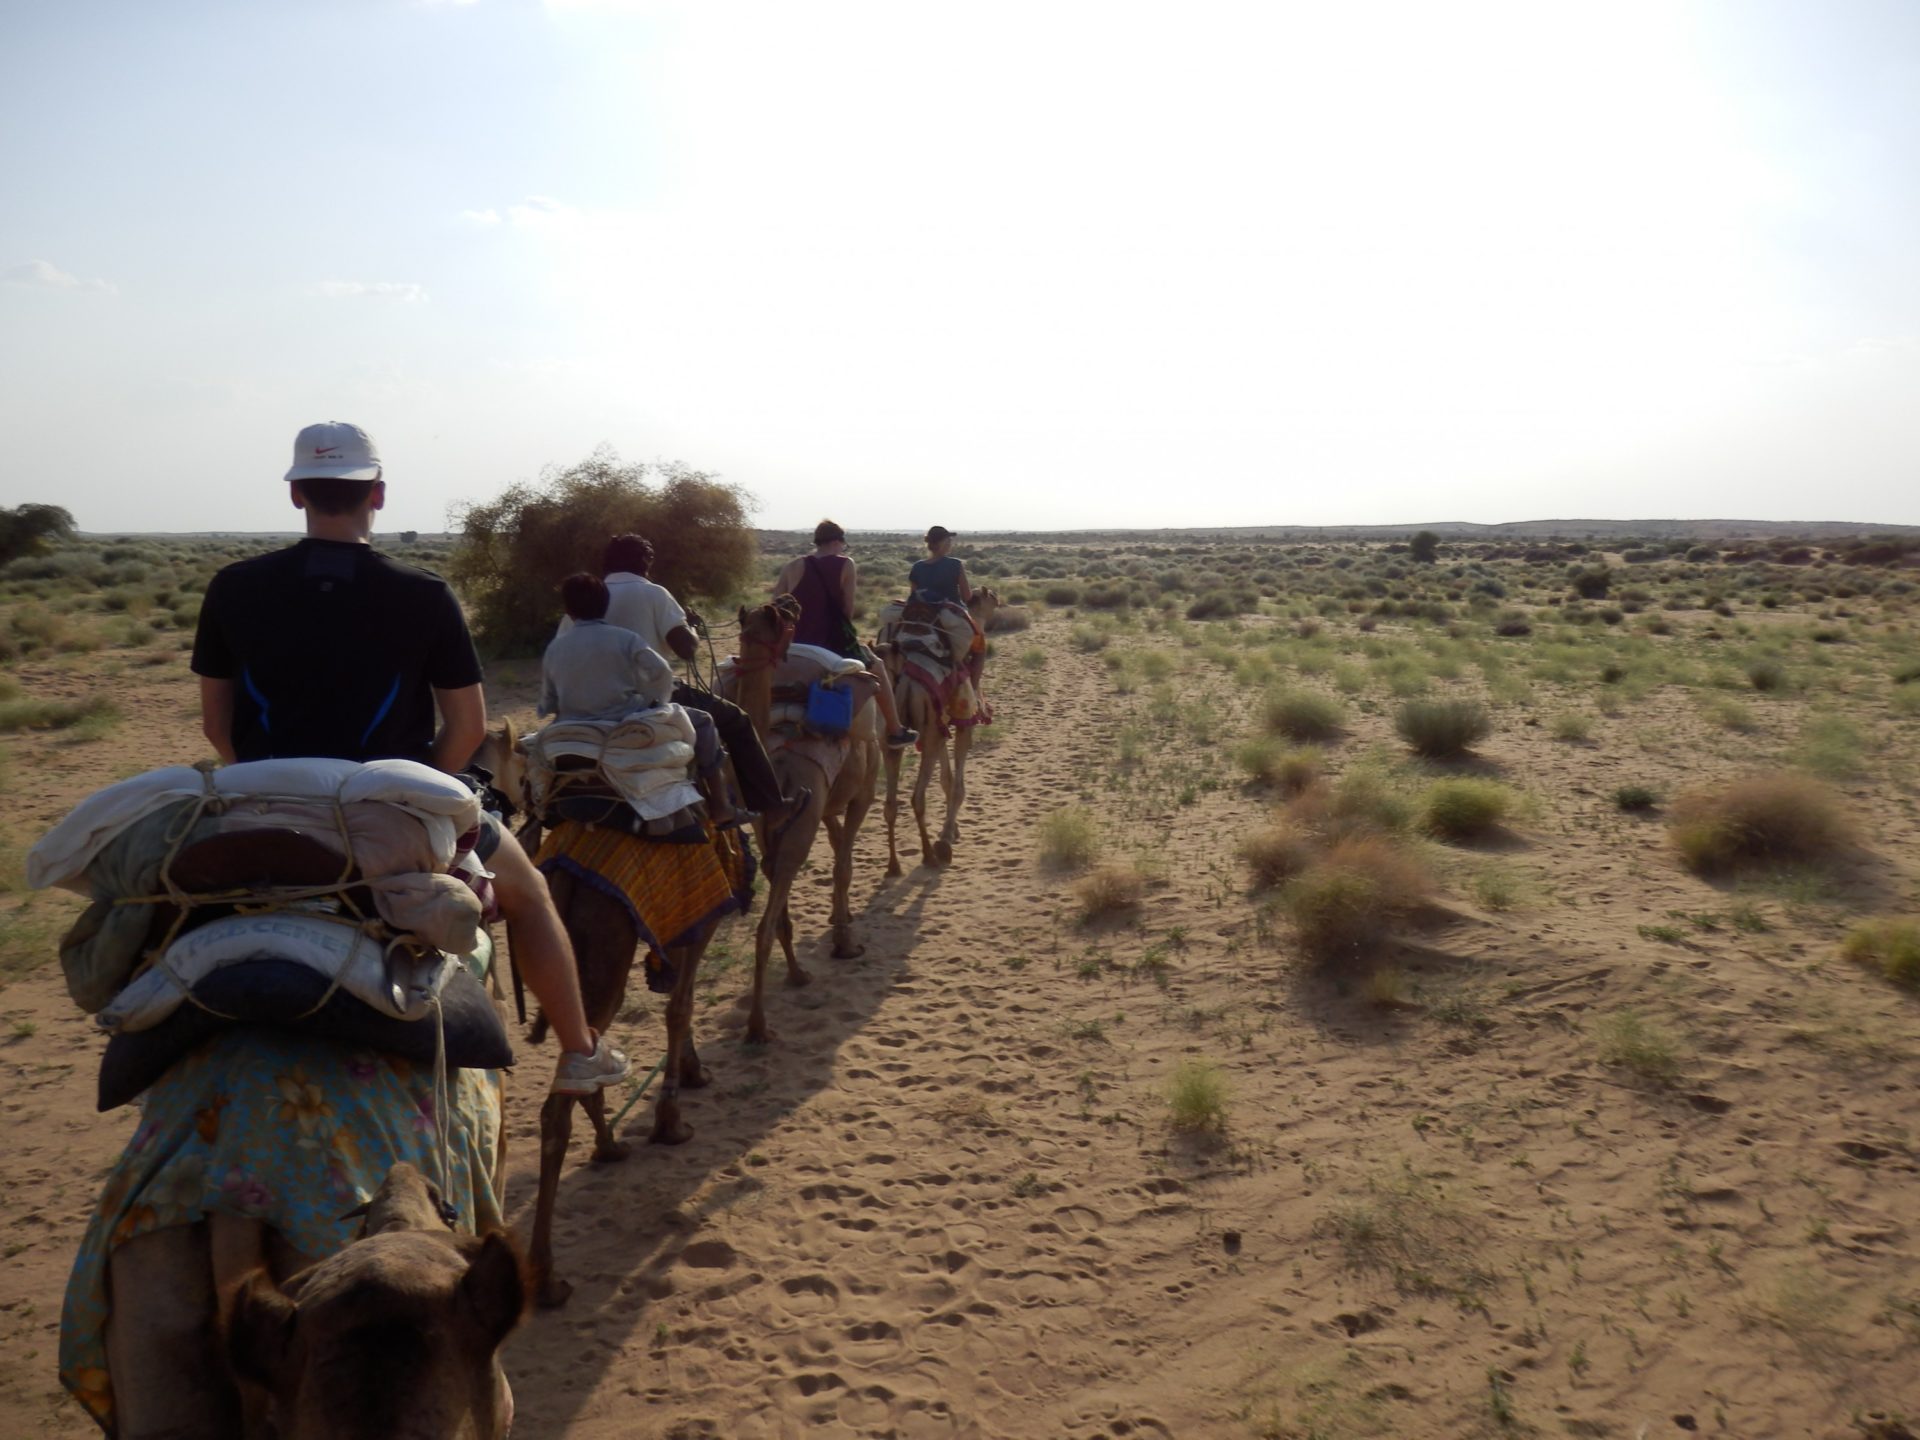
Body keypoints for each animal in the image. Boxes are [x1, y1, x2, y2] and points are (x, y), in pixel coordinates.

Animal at [725, 602, 883, 1044]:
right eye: (782, 621)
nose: (789, 604)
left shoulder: (817, 812)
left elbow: (839, 855)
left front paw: (840, 922)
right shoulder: (861, 795)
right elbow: (843, 866)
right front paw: (845, 942)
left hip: (775, 836)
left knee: (777, 915)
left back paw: (797, 975)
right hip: (798, 836)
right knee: (764, 926)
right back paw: (758, 1027)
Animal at [883, 583, 1006, 867]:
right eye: (991, 596)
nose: (1000, 600)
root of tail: (904, 680)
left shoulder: (941, 726)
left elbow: (946, 780)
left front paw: (951, 830)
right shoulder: (962, 723)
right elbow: (957, 784)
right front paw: (947, 835)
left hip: (892, 734)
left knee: (890, 803)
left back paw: (894, 865)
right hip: (927, 732)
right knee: (916, 797)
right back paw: (930, 854)